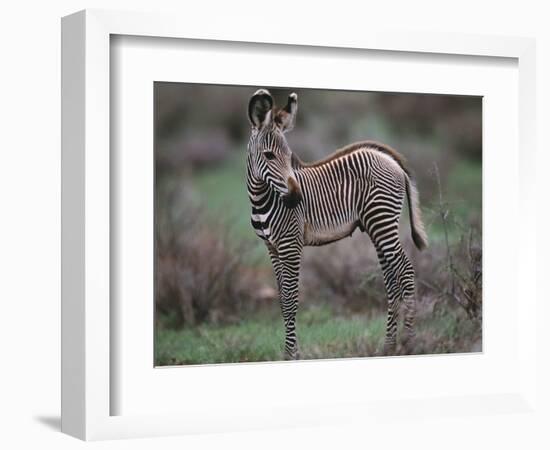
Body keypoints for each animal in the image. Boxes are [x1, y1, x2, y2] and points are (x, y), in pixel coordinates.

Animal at [247, 89, 432, 360]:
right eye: (269, 155)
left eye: (290, 157)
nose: (296, 198)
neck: (262, 198)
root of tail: (391, 160)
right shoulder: (272, 247)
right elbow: (281, 299)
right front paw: (288, 353)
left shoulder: (291, 245)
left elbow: (291, 300)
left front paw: (292, 355)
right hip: (377, 227)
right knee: (392, 282)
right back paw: (388, 347)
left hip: (383, 222)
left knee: (406, 273)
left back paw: (409, 345)